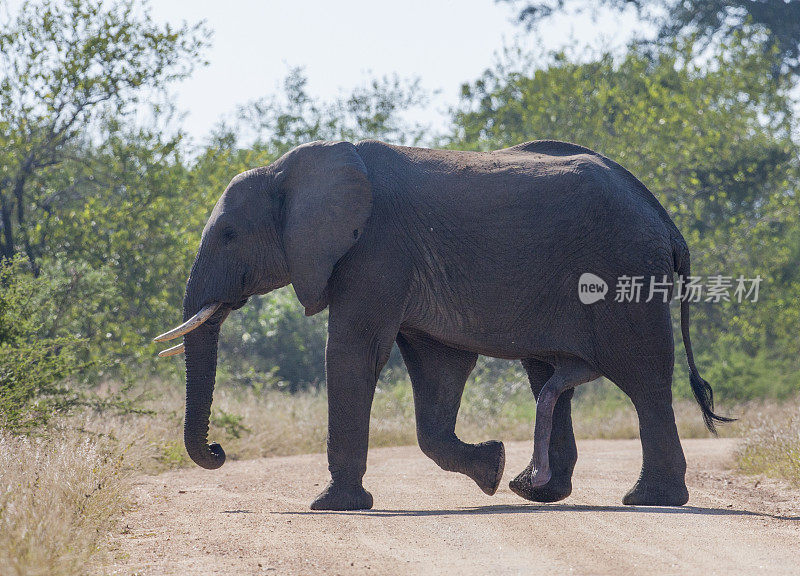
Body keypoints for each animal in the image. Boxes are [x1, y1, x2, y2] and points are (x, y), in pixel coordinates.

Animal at [152, 138, 732, 508]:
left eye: (228, 235)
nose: (220, 452)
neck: (290, 168)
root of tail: (664, 218)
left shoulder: (375, 250)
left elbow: (354, 353)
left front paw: (332, 506)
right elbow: (438, 369)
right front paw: (491, 466)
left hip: (622, 273)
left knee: (644, 380)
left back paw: (649, 499)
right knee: (549, 378)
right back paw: (532, 490)